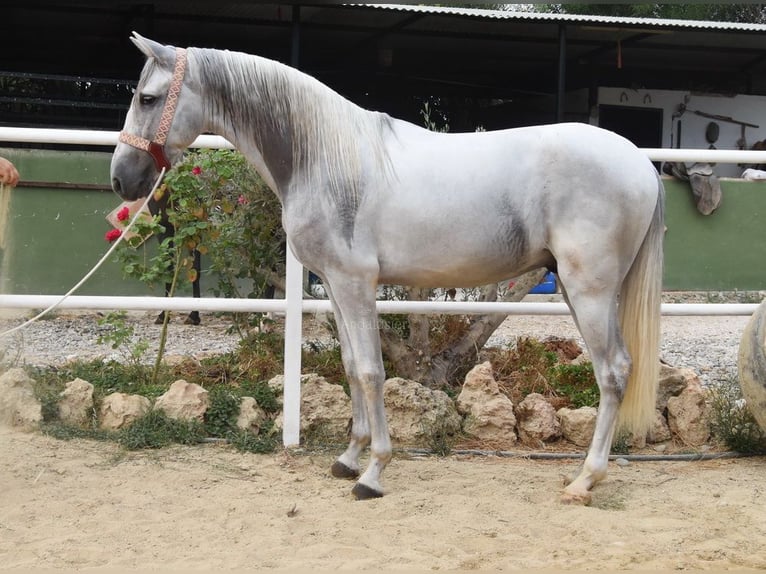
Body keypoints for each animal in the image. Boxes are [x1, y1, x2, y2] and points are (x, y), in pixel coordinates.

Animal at [110, 33, 665, 505]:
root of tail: (640, 163)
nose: (121, 179)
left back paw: (585, 480)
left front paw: (374, 473)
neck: (325, 157)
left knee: (614, 372)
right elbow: (351, 367)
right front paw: (349, 458)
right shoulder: (335, 286)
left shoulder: (356, 283)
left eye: (148, 99)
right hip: (577, 288)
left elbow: (373, 371)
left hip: (589, 289)